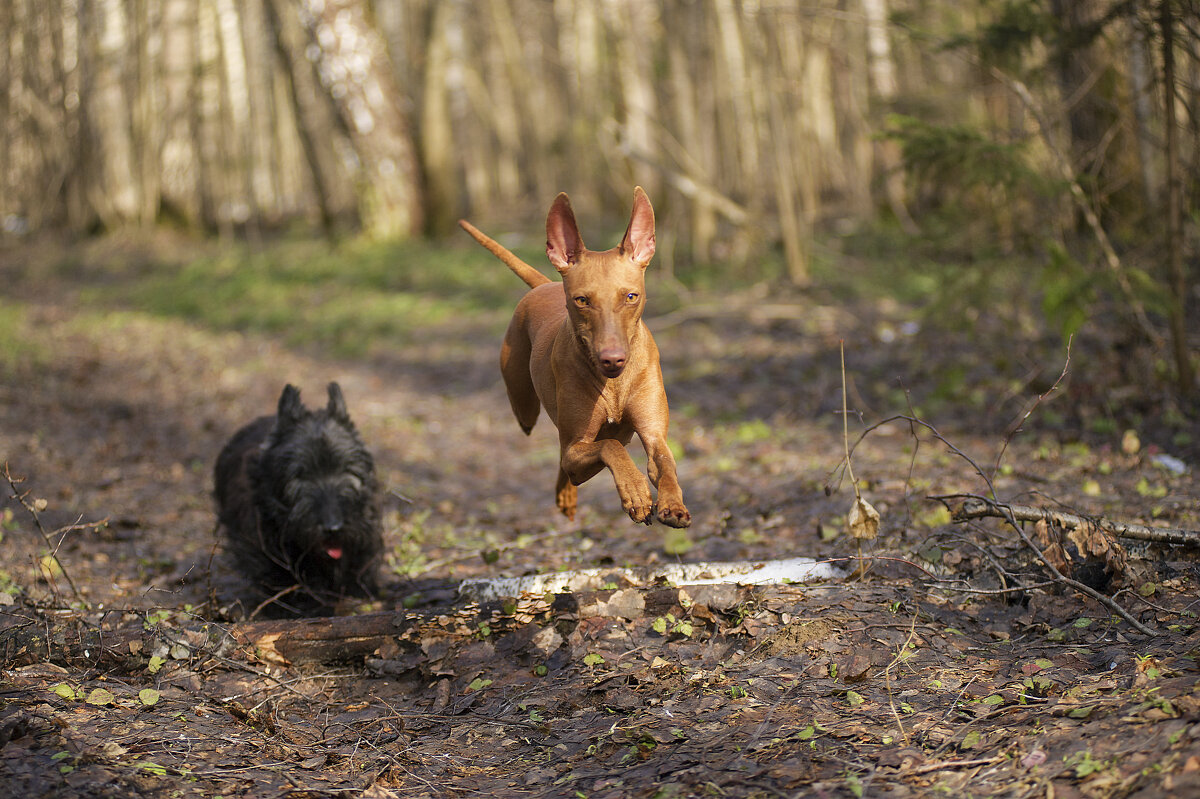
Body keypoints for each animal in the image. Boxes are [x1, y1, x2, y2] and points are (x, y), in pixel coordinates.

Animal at [460, 185, 696, 523]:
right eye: (582, 300)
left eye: (631, 296)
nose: (612, 359)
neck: (613, 385)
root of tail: (544, 285)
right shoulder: (578, 447)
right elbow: (609, 448)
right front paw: (636, 490)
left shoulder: (654, 436)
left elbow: (664, 463)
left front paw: (673, 504)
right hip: (525, 406)